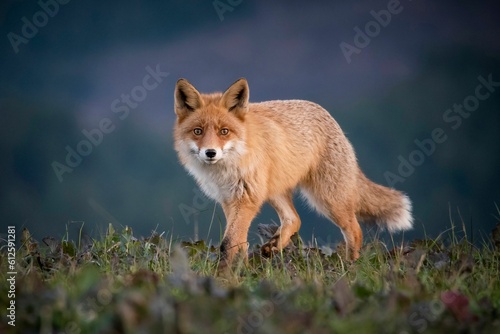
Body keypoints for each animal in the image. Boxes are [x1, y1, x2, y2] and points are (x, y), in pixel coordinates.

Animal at [174, 77, 412, 268]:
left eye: (224, 131)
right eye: (198, 131)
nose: (210, 152)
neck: (228, 167)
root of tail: (326, 114)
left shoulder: (246, 198)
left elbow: (229, 243)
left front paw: (225, 275)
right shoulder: (229, 199)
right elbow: (238, 242)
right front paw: (240, 269)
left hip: (328, 199)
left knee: (355, 230)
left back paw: (350, 267)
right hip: (275, 192)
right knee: (294, 220)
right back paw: (274, 246)